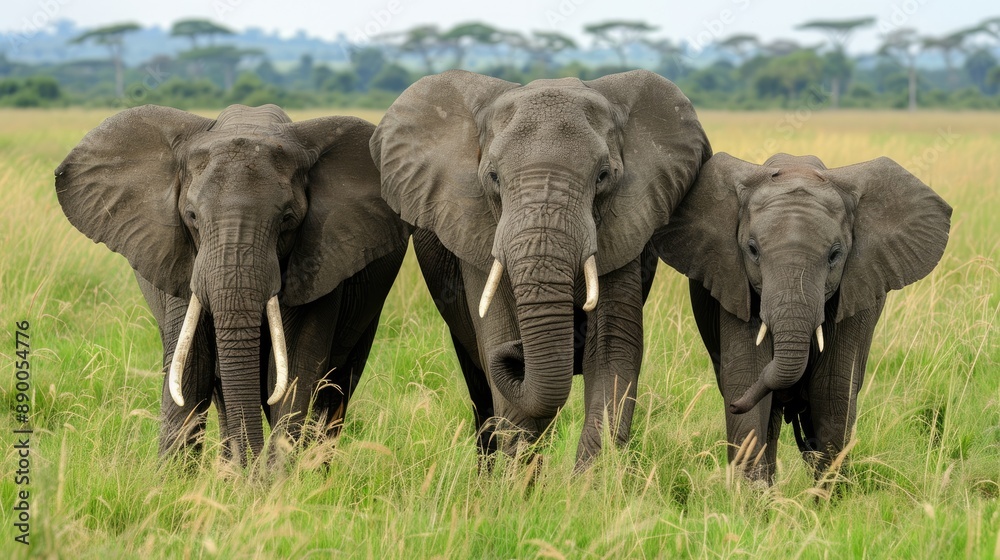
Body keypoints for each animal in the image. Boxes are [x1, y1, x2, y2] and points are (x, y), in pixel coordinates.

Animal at [55, 104, 409, 464]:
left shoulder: (319, 261)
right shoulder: (183, 263)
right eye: (192, 216)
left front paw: (276, 477)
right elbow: (191, 369)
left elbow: (294, 371)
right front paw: (180, 477)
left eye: (287, 219)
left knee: (336, 387)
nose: (250, 467)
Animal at [370, 69, 710, 468]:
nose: (518, 353)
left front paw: (590, 482)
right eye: (493, 177)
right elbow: (498, 339)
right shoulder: (475, 227)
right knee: (480, 382)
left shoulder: (626, 224)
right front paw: (520, 482)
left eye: (603, 176)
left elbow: (612, 353)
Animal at [655, 152, 952, 483]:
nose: (733, 406)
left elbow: (831, 389)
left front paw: (825, 496)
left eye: (835, 255)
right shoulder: (732, 281)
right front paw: (751, 496)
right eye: (752, 250)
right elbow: (746, 374)